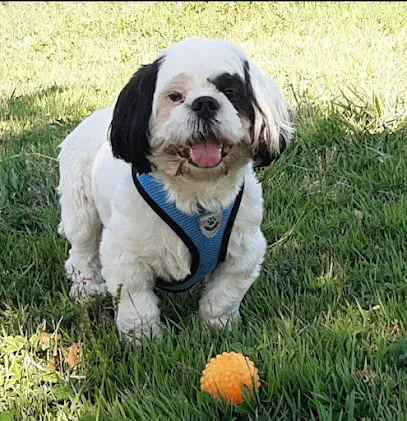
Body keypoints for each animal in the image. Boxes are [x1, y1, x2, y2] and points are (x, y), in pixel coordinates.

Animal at [56, 37, 294, 342]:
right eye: (175, 97)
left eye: (230, 91)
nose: (205, 103)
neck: (196, 192)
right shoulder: (126, 256)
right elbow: (136, 301)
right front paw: (143, 339)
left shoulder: (244, 250)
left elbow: (224, 294)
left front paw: (217, 327)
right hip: (81, 209)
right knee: (82, 249)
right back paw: (86, 286)